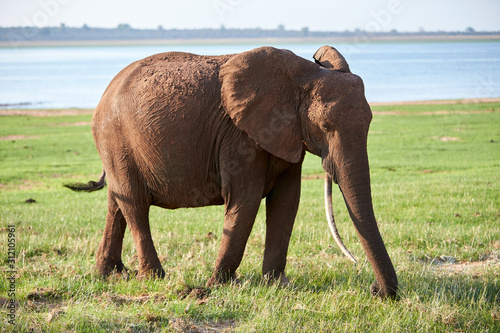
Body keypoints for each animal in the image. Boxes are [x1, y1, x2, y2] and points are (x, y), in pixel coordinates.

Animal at [67, 44, 398, 298]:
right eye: (326, 127)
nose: (374, 291)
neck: (304, 74)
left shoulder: (287, 135)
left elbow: (287, 201)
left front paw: (277, 285)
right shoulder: (240, 137)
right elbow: (246, 199)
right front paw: (219, 286)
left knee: (117, 202)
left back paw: (110, 274)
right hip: (115, 137)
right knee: (135, 203)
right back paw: (153, 278)